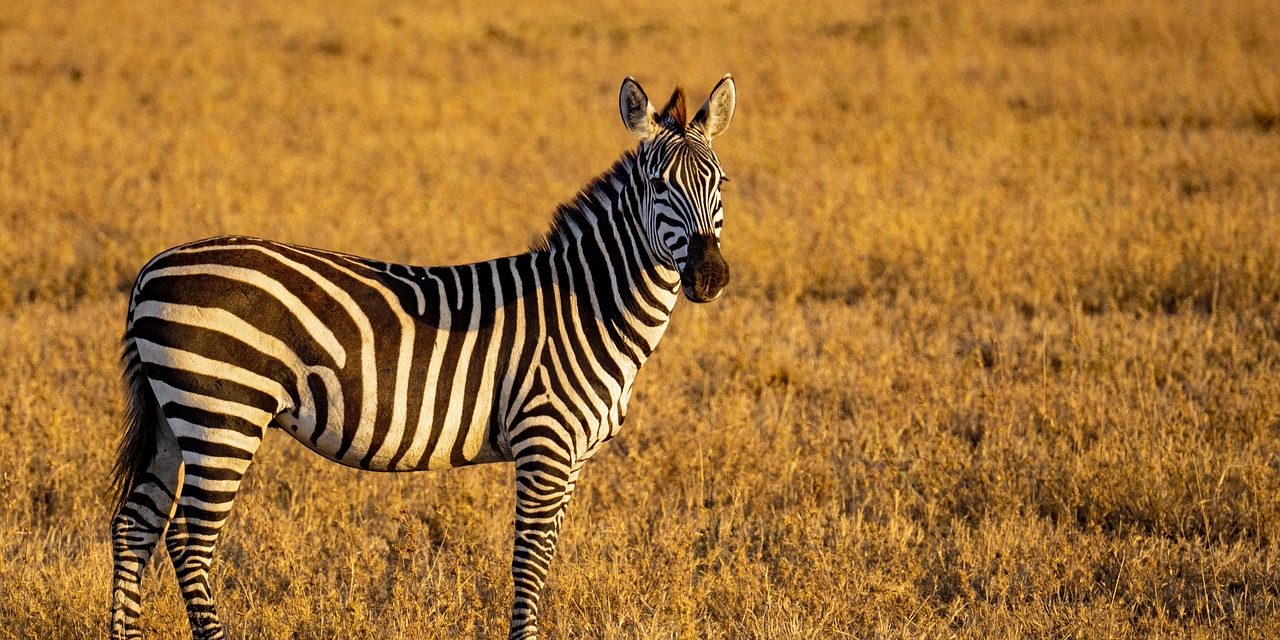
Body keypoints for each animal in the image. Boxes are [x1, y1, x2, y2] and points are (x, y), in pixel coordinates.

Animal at [108, 74, 736, 640]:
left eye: (721, 181)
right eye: (657, 186)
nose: (709, 276)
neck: (587, 305)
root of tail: (151, 268)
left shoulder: (573, 456)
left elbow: (545, 557)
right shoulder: (545, 441)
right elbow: (529, 563)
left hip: (175, 414)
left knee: (135, 527)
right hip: (223, 414)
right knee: (189, 542)